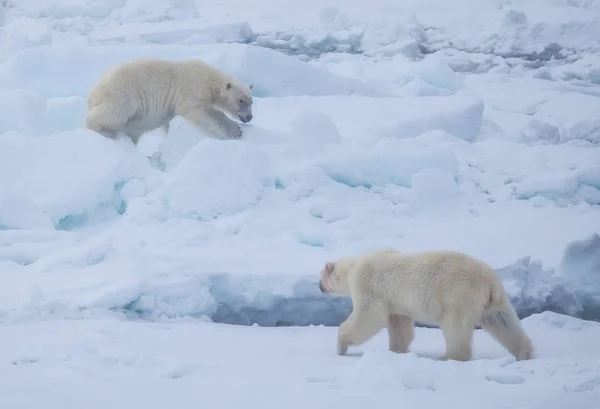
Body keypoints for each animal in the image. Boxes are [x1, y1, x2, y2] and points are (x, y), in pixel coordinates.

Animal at [84, 57, 253, 143]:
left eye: (251, 101)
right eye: (241, 100)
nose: (249, 117)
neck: (209, 79)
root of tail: (92, 94)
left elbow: (211, 110)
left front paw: (235, 130)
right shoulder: (190, 88)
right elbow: (191, 110)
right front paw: (221, 133)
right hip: (122, 93)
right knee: (117, 109)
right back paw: (104, 132)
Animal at [318, 247, 536, 362]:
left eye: (321, 277)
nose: (319, 286)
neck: (354, 267)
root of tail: (490, 283)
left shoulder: (369, 285)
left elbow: (367, 315)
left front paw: (340, 345)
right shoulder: (396, 301)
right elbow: (400, 325)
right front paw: (397, 351)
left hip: (457, 295)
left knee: (455, 327)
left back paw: (448, 357)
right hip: (493, 301)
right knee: (503, 321)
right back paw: (525, 353)